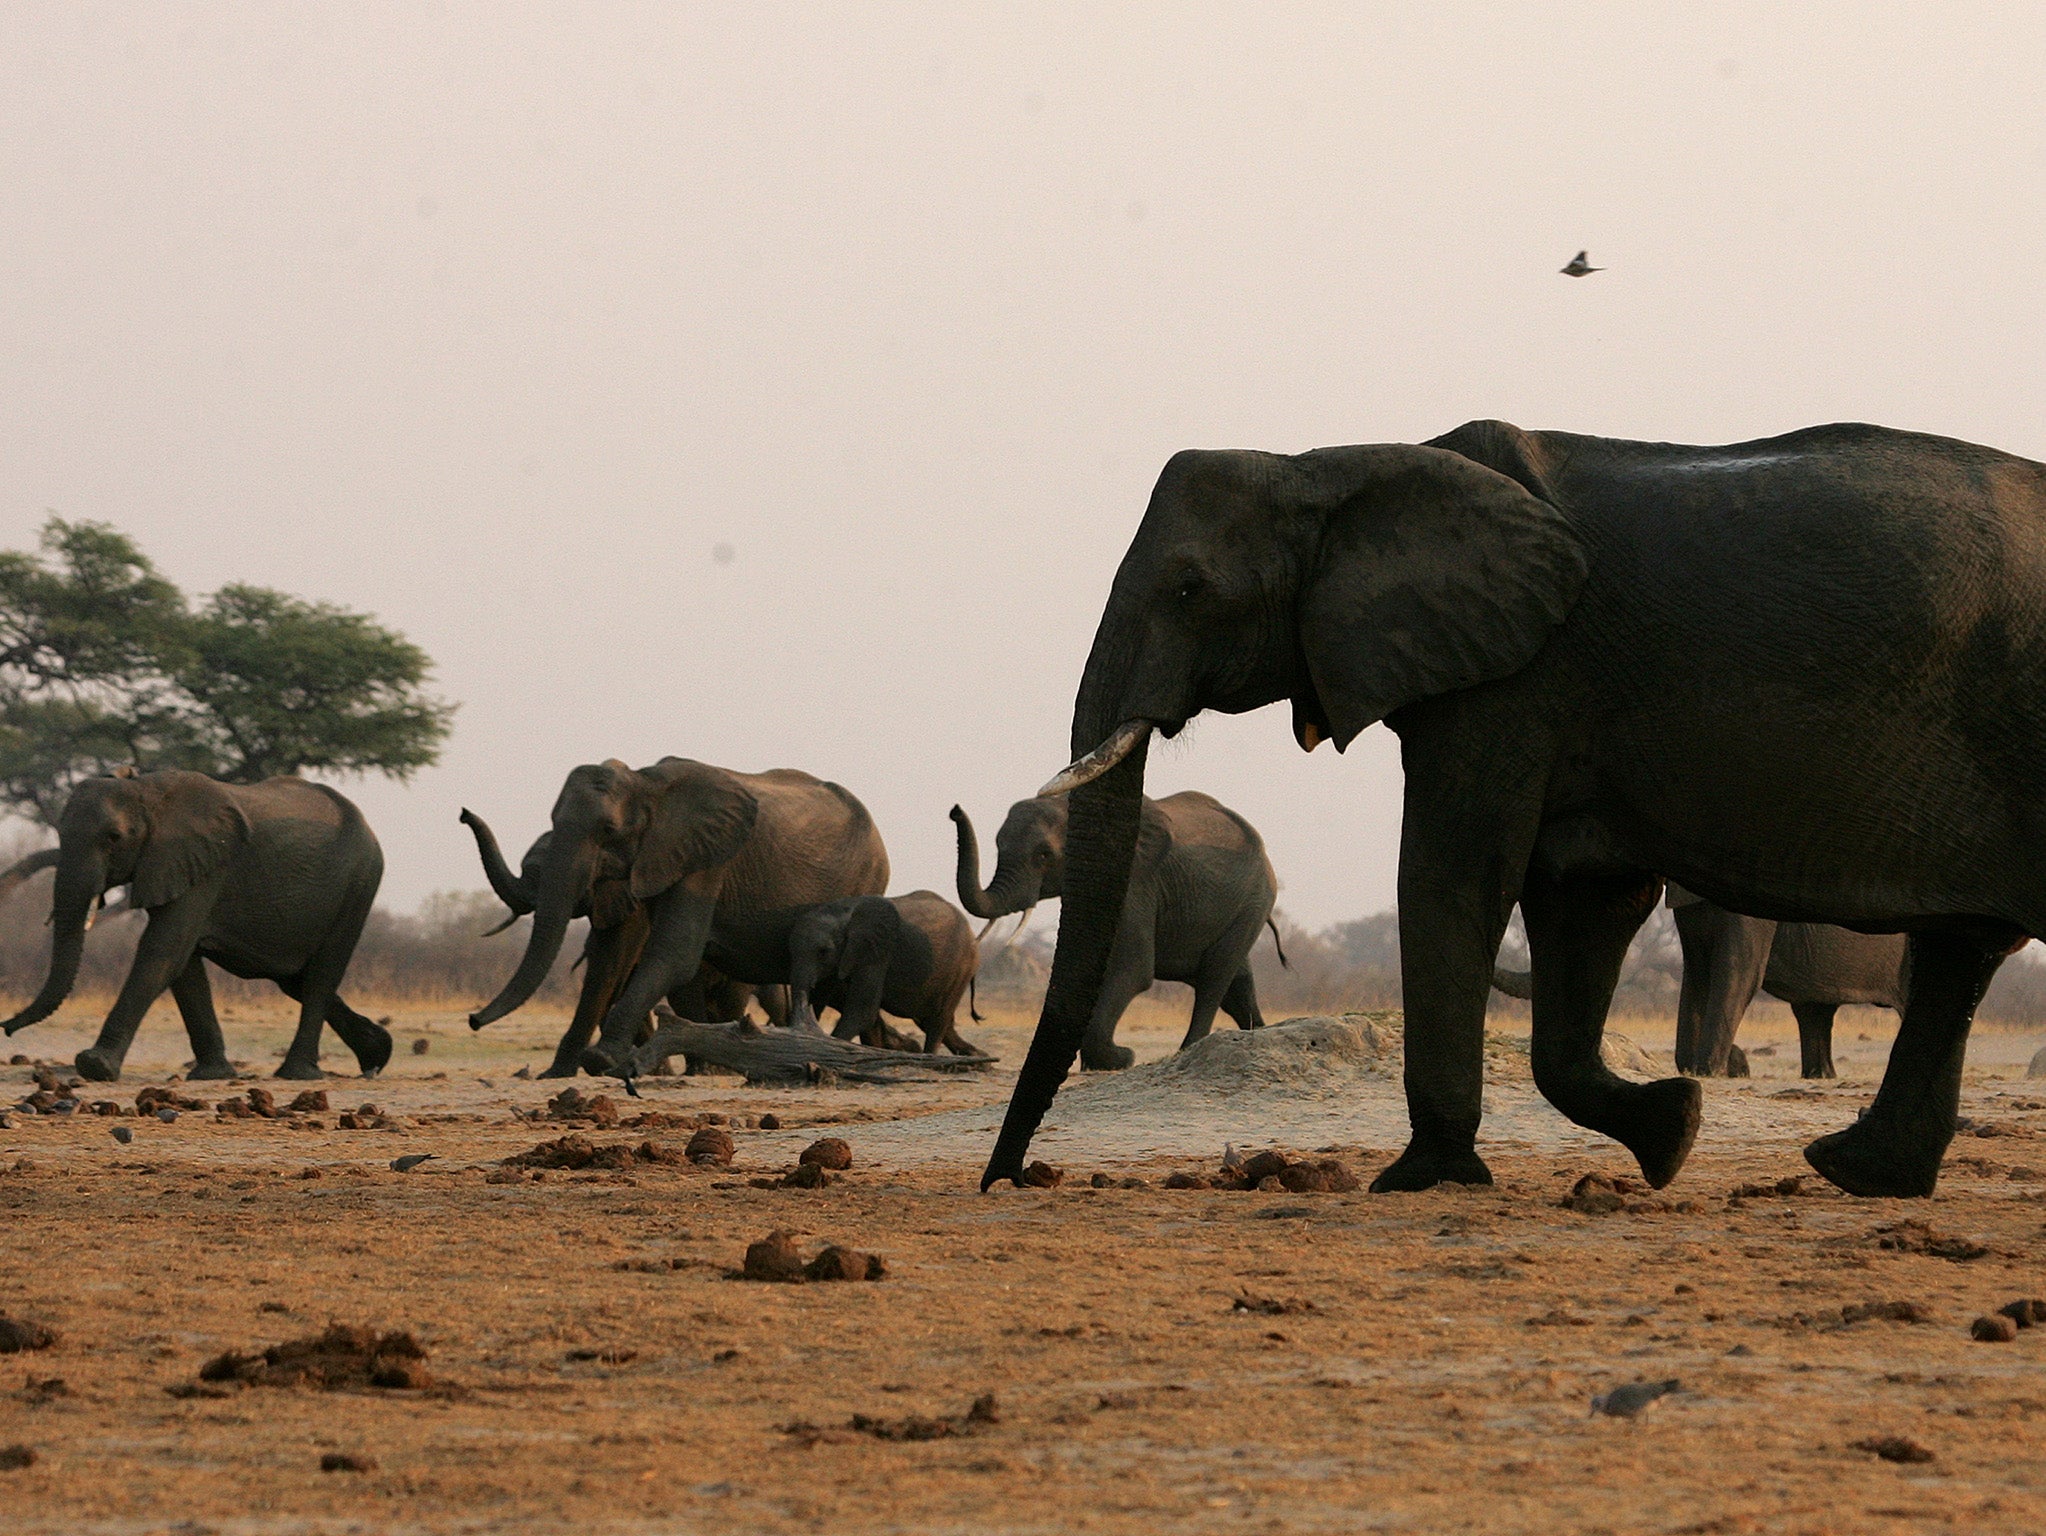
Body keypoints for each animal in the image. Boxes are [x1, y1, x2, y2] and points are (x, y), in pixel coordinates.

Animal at [0, 769, 388, 1079]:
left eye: (113, 838)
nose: (5, 1027)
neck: (147, 791)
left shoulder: (204, 865)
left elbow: (164, 950)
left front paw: (95, 1067)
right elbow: (182, 963)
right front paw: (212, 1075)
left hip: (361, 882)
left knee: (321, 974)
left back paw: (298, 1075)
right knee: (293, 978)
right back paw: (376, 1055)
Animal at [470, 760, 887, 1071]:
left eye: (608, 829)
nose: (473, 1019)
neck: (646, 784)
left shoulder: (707, 860)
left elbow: (677, 953)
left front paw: (601, 1059)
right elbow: (610, 958)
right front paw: (565, 1071)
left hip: (866, 879)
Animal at [953, 785, 1276, 1063]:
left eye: (1043, 855)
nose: (954, 811)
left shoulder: (1134, 884)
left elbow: (1133, 968)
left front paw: (1120, 1058)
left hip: (1254, 900)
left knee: (1215, 978)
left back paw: (1187, 1049)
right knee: (1237, 983)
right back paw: (1258, 1033)